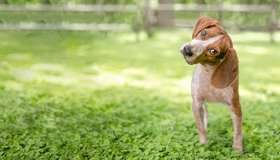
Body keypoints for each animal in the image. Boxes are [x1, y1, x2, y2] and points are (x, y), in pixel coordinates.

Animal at [179, 16, 243, 153]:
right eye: (203, 33)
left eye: (213, 51)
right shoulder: (197, 103)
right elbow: (200, 127)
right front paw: (203, 143)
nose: (187, 50)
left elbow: (238, 131)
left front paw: (238, 149)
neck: (209, 74)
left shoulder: (235, 106)